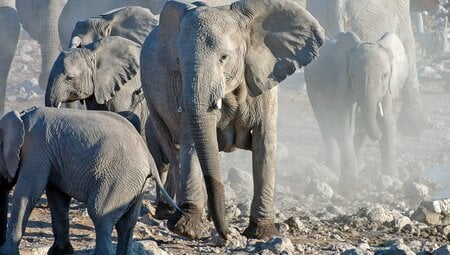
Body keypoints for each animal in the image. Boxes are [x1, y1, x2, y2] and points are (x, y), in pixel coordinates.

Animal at [0, 107, 177, 255]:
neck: (22, 117)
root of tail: (148, 157)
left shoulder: (36, 149)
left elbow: (27, 195)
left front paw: (7, 253)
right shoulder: (52, 158)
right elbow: (58, 199)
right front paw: (61, 253)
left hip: (119, 179)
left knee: (100, 213)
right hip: (136, 185)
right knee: (126, 224)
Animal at [141, 0, 324, 239]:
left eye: (224, 57)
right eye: (178, 61)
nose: (226, 234)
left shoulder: (265, 84)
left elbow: (265, 146)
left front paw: (262, 233)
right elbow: (191, 143)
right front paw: (186, 229)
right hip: (150, 98)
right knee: (172, 149)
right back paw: (170, 212)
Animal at [304, 32, 410, 193]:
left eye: (385, 75)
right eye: (353, 75)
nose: (377, 134)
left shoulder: (387, 88)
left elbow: (389, 121)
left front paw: (393, 178)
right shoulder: (343, 83)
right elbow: (344, 124)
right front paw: (349, 184)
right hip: (312, 88)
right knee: (325, 124)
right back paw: (333, 170)